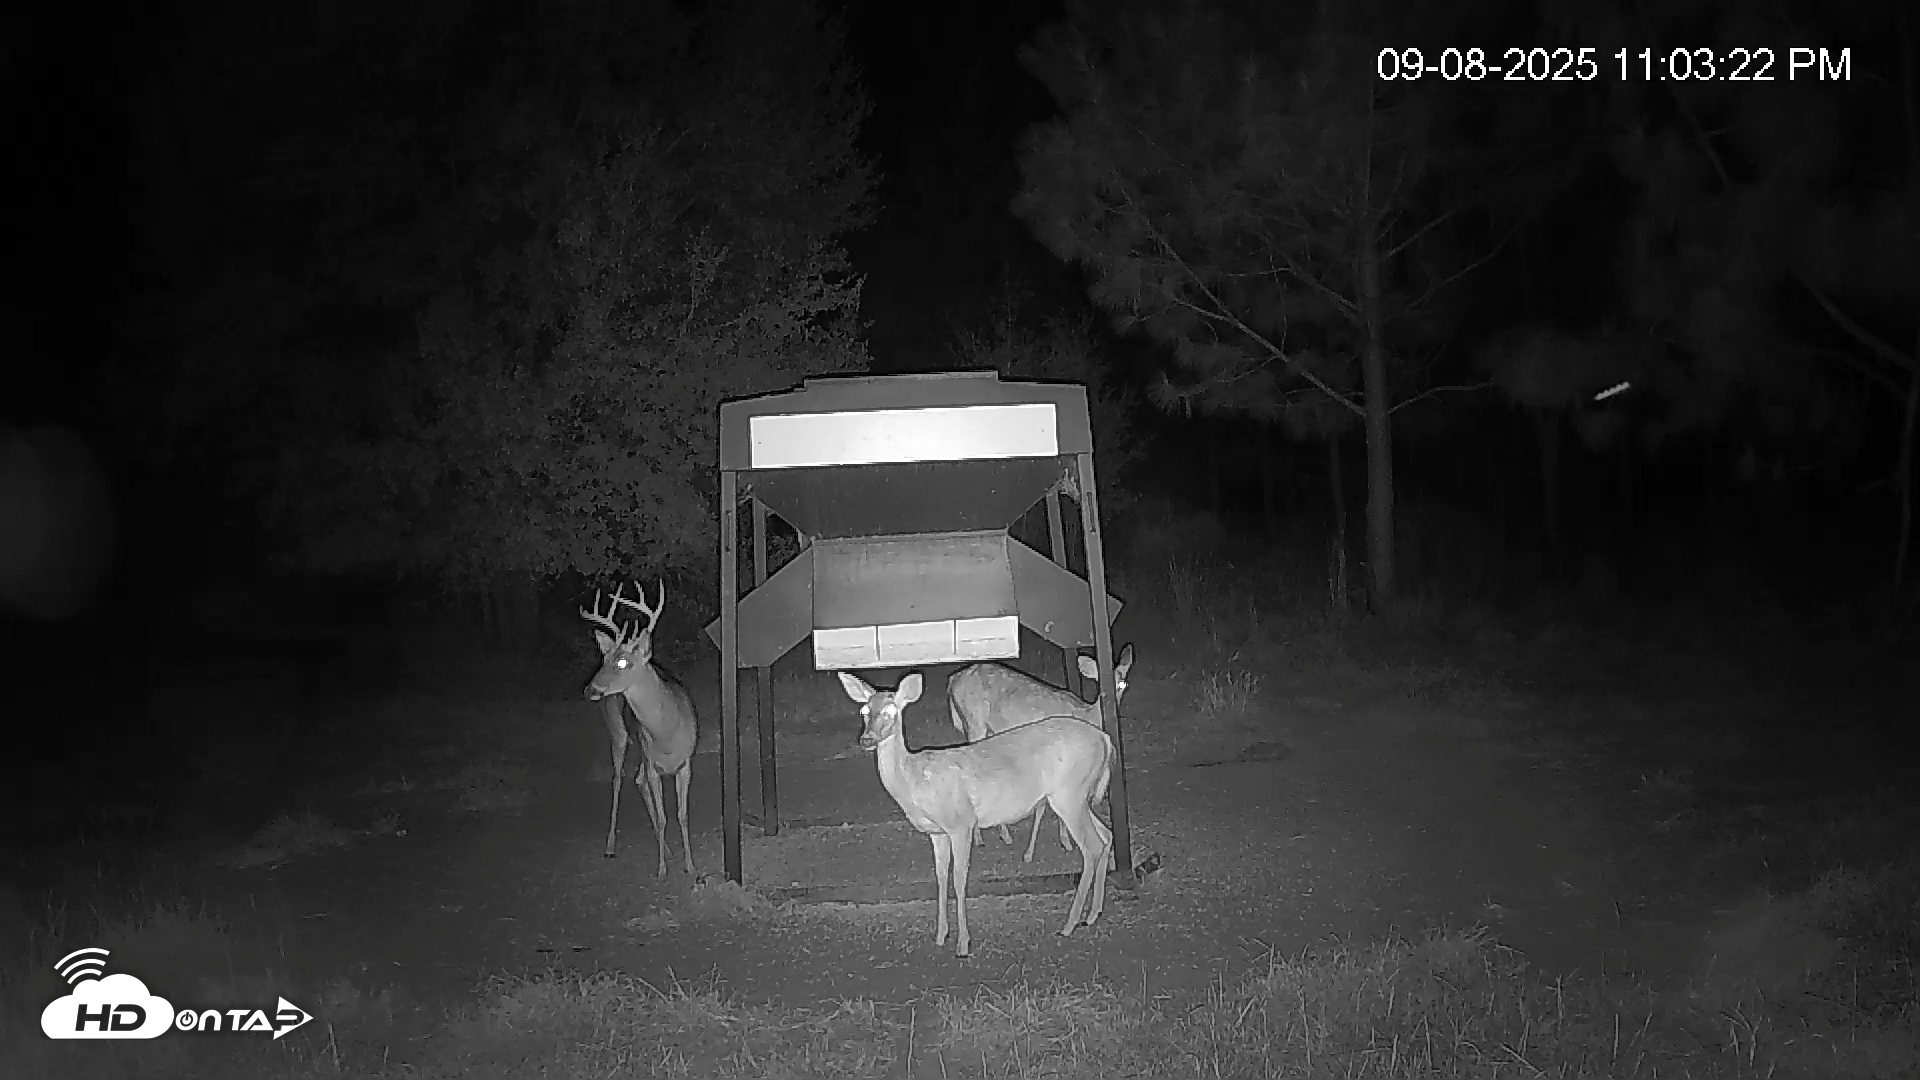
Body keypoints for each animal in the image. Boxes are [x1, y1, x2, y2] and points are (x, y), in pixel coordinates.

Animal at [580, 581, 699, 878]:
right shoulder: (653, 763)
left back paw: (666, 848)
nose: (590, 690)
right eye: (604, 659)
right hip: (618, 733)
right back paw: (611, 846)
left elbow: (681, 815)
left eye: (623, 662)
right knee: (619, 779)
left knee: (637, 781)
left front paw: (691, 867)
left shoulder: (685, 764)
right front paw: (662, 870)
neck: (666, 734)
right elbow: (664, 816)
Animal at [839, 670, 1111, 958]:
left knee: (1092, 847)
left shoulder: (961, 822)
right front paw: (940, 935)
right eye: (864, 710)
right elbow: (940, 877)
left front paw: (963, 944)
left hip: (1069, 794)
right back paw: (1093, 914)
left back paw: (1070, 924)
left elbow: (960, 879)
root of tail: (1105, 740)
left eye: (891, 710)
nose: (867, 739)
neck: (916, 782)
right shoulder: (937, 832)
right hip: (1078, 796)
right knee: (1106, 835)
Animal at [947, 643, 1134, 863]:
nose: (1113, 702)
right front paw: (1033, 852)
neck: (1086, 715)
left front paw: (1065, 841)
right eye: (1101, 684)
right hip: (974, 723)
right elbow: (1041, 807)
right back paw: (983, 838)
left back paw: (1004, 835)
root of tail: (953, 679)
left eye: (1122, 683)